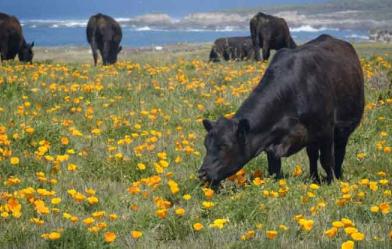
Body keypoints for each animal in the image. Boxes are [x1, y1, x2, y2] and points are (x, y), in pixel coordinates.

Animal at [199, 34, 364, 187]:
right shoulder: (271, 143)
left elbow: (327, 160)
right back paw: (314, 179)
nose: (202, 173)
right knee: (312, 155)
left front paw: (332, 183)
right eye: (206, 144)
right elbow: (274, 168)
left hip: (343, 128)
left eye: (224, 146)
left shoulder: (326, 130)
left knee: (339, 152)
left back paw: (338, 176)